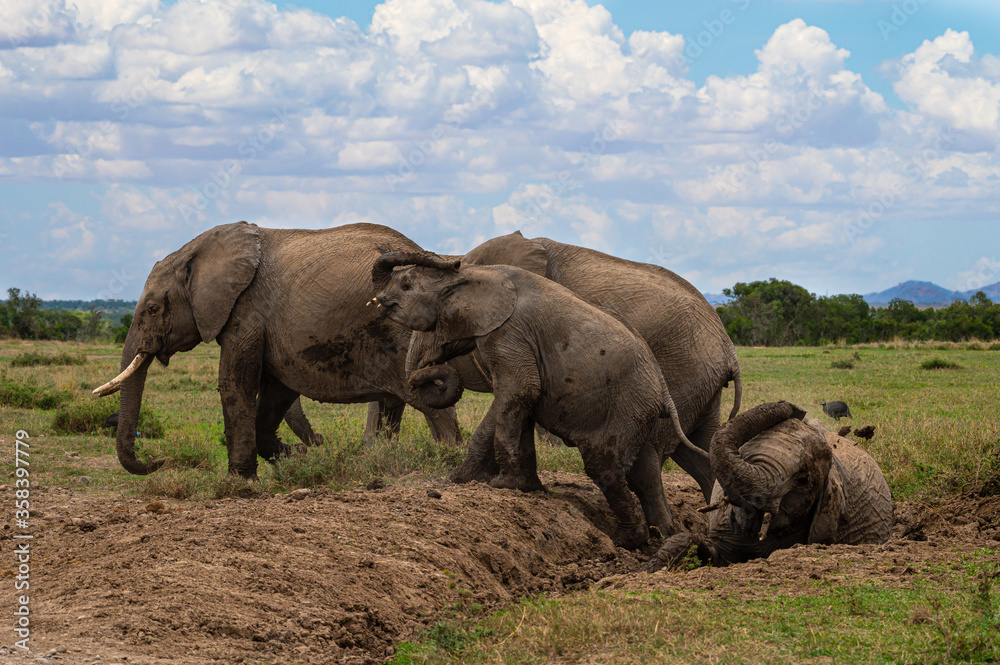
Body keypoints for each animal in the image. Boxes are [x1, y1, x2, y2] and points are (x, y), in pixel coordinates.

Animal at [92, 222, 461, 478]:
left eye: (153, 309)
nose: (160, 461)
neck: (196, 251)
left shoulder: (246, 313)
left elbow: (235, 385)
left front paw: (239, 484)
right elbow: (276, 393)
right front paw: (297, 457)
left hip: (406, 336)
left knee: (431, 404)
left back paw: (450, 463)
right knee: (394, 405)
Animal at [371, 251, 708, 548]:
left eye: (406, 286)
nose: (381, 302)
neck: (479, 273)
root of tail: (663, 391)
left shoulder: (509, 334)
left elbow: (519, 390)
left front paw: (489, 483)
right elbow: (521, 404)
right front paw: (521, 487)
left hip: (628, 406)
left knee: (605, 468)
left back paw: (630, 541)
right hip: (638, 413)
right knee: (644, 471)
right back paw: (665, 536)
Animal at [402, 231, 743, 502]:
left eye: (439, 324)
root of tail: (729, 350)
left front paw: (469, 479)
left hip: (681, 371)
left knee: (652, 456)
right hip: (701, 384)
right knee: (700, 453)